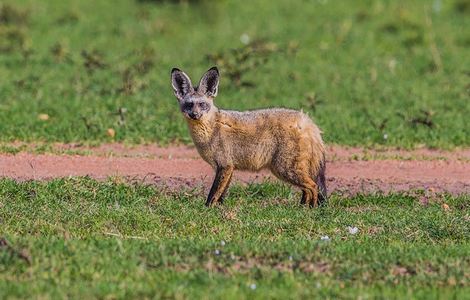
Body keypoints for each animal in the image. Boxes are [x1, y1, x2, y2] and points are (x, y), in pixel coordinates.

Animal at [170, 67, 326, 207]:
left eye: (202, 104)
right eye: (189, 105)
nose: (195, 115)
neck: (211, 129)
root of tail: (307, 121)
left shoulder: (225, 165)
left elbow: (213, 194)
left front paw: (206, 210)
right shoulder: (227, 167)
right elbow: (221, 194)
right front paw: (219, 210)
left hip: (285, 169)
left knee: (313, 187)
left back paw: (310, 210)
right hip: (290, 170)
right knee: (307, 190)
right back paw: (301, 208)